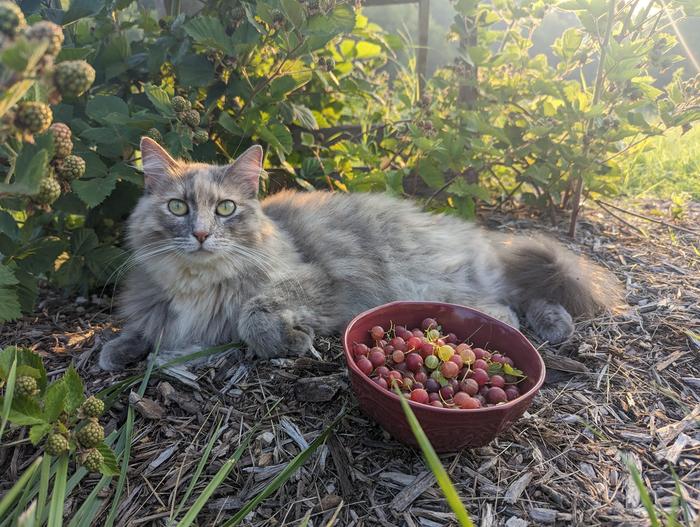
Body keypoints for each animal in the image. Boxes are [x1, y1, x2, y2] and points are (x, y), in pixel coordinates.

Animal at [97, 138, 616, 374]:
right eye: (178, 207)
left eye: (225, 208)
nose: (202, 234)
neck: (199, 284)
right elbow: (137, 334)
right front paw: (117, 351)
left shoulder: (315, 280)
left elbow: (253, 315)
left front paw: (290, 341)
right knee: (513, 300)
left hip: (433, 278)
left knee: (515, 300)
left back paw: (552, 327)